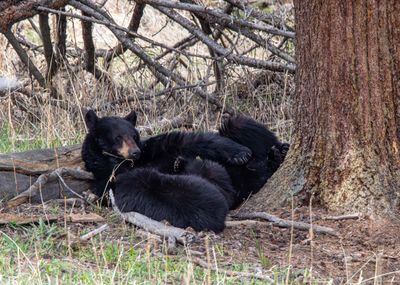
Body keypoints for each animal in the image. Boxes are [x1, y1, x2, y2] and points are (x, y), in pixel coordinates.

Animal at [81, 110, 288, 232]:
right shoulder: (106, 176)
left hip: (245, 132)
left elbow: (189, 139)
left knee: (241, 124)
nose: (135, 152)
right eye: (117, 137)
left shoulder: (154, 147)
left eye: (134, 135)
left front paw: (239, 153)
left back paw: (279, 151)